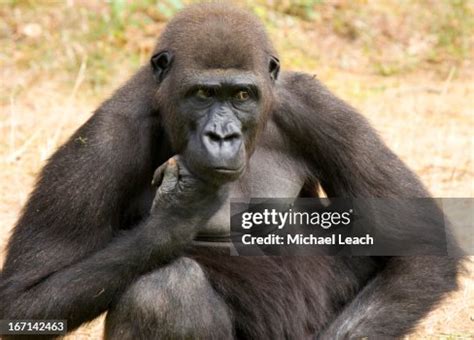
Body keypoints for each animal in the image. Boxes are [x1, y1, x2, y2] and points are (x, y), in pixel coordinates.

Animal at [0, 3, 462, 340]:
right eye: (203, 94)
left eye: (241, 95)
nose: (222, 135)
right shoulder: (105, 140)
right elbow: (23, 298)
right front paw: (175, 218)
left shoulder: (316, 107)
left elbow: (419, 244)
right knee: (164, 290)